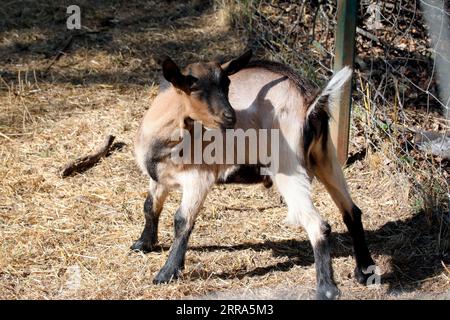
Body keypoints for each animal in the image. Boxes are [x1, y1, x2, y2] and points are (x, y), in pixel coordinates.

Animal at [132, 50, 374, 300]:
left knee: (318, 224)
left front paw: (167, 272)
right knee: (352, 211)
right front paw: (143, 244)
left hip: (288, 166)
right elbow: (150, 207)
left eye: (227, 84)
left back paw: (327, 289)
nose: (230, 117)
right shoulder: (158, 178)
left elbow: (182, 220)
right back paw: (364, 271)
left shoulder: (199, 178)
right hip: (326, 159)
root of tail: (310, 105)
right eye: (193, 86)